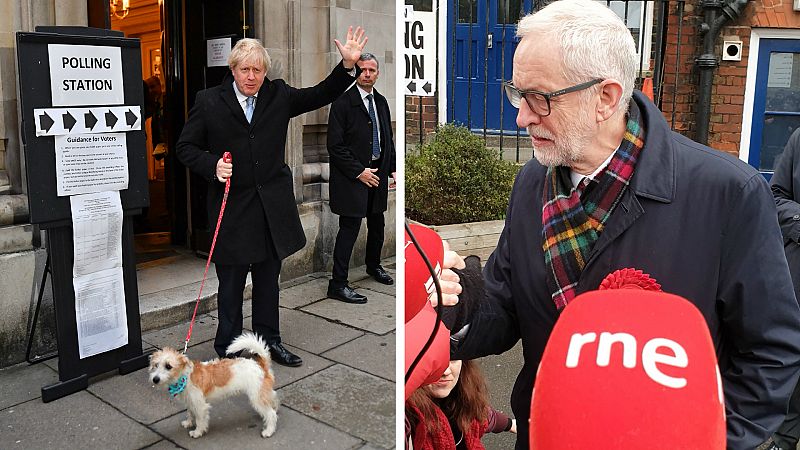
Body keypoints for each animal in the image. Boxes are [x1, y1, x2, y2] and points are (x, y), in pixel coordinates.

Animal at [148, 332, 280, 438]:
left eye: (168, 366)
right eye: (155, 365)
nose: (155, 379)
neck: (185, 376)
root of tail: (261, 365)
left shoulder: (200, 405)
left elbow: (200, 420)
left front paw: (197, 432)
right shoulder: (190, 401)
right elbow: (190, 412)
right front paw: (188, 423)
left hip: (256, 397)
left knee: (271, 414)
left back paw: (268, 431)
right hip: (262, 393)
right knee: (273, 398)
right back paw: (274, 408)